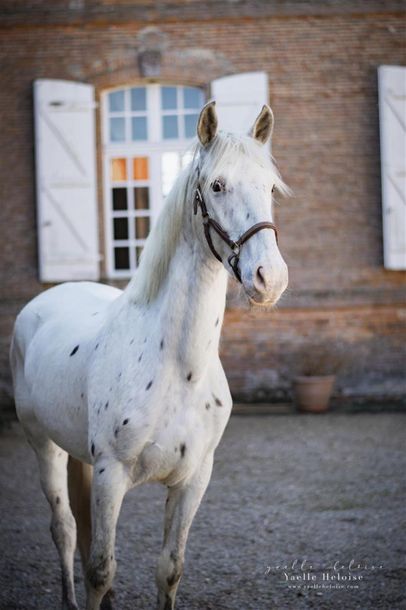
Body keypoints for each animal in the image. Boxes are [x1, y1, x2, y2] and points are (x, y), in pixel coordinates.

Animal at [9, 101, 288, 608]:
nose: (269, 278)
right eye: (216, 185)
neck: (180, 368)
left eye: (271, 188)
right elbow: (101, 568)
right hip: (44, 446)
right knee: (65, 530)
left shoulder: (193, 481)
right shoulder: (110, 476)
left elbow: (169, 569)